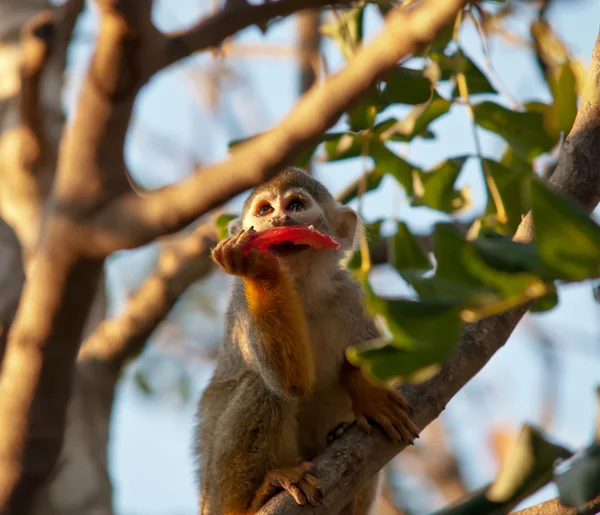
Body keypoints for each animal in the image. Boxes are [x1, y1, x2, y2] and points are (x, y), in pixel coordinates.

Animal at [196, 169, 418, 515]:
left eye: (296, 205)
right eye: (264, 210)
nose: (279, 220)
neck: (300, 286)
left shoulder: (349, 292)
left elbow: (367, 357)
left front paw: (369, 397)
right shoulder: (242, 306)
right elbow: (289, 382)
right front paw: (259, 270)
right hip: (216, 494)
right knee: (262, 386)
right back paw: (259, 495)